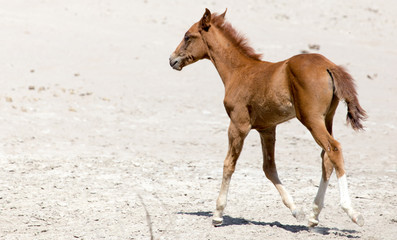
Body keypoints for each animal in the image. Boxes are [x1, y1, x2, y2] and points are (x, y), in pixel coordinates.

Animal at [167, 8, 366, 228]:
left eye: (188, 36)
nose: (172, 59)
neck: (239, 71)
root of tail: (329, 66)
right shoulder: (267, 129)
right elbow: (269, 168)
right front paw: (296, 210)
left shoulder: (238, 125)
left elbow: (229, 164)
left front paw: (218, 213)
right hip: (326, 119)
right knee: (326, 158)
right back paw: (314, 215)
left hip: (311, 119)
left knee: (334, 149)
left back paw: (352, 212)